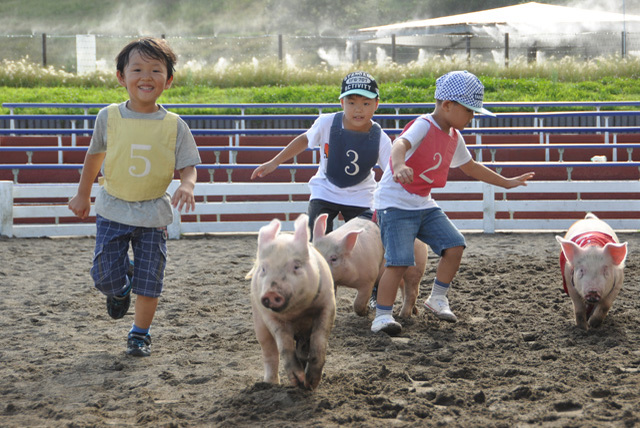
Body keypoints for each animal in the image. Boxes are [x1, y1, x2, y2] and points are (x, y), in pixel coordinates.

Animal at [245, 214, 336, 392]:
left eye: (296, 266)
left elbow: (320, 337)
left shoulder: (328, 303)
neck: (297, 312)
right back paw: (270, 384)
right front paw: (298, 381)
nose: (272, 292)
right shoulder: (268, 315)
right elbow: (284, 345)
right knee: (269, 351)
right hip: (258, 322)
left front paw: (311, 383)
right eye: (264, 269)